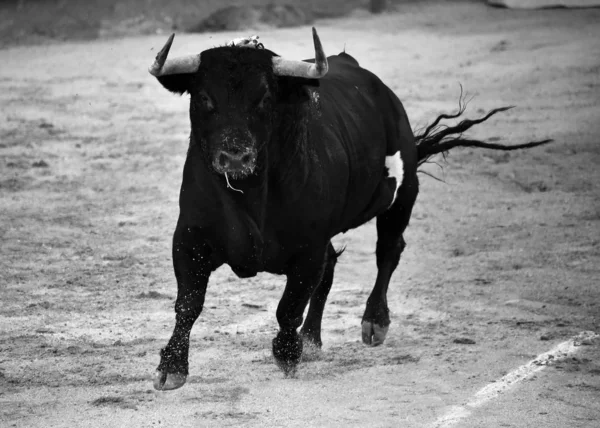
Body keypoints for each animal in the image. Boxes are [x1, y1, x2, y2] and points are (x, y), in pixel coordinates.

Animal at [148, 28, 552, 390]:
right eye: (204, 98)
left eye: (263, 98)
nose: (235, 155)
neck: (249, 194)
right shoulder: (189, 238)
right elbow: (189, 303)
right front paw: (172, 367)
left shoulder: (307, 248)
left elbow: (288, 305)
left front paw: (286, 354)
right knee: (331, 270)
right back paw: (312, 339)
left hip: (403, 194)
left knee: (388, 251)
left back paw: (374, 322)